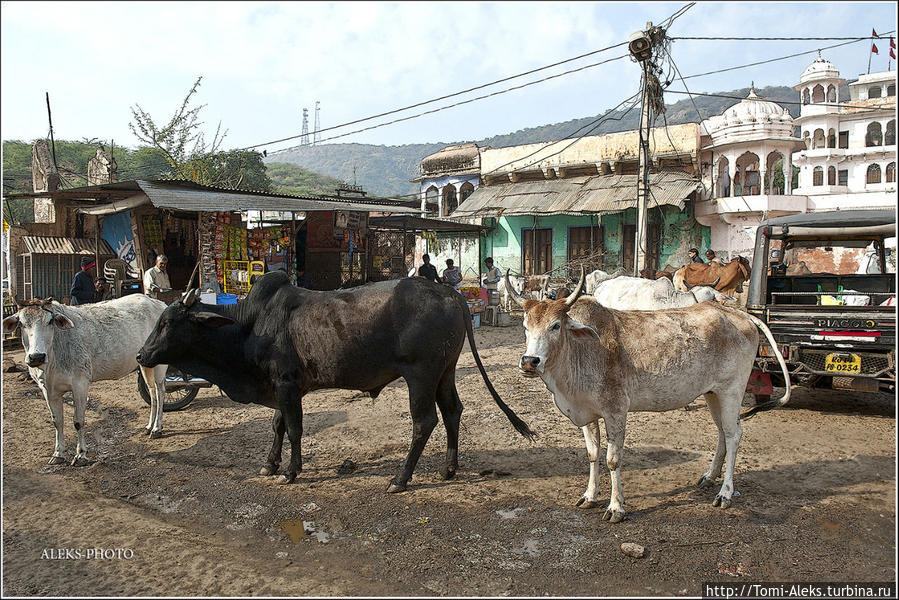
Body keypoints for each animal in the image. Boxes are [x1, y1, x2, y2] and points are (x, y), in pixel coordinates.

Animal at [2, 296, 169, 464]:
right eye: (22, 323)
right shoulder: (48, 390)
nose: (36, 356)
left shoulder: (80, 383)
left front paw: (81, 454)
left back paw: (157, 428)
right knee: (152, 392)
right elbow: (57, 421)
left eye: (49, 321)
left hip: (160, 365)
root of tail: (158, 303)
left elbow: (78, 421)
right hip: (145, 364)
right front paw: (58, 454)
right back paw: (149, 426)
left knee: (160, 391)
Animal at [502, 270, 792, 524]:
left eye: (555, 326)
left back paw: (725, 493)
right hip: (713, 393)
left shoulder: (616, 411)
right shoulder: (587, 414)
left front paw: (616, 508)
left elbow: (613, 459)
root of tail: (736, 313)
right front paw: (590, 496)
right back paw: (710, 476)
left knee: (733, 435)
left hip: (732, 391)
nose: (529, 361)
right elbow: (593, 454)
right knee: (722, 431)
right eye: (525, 326)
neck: (580, 350)